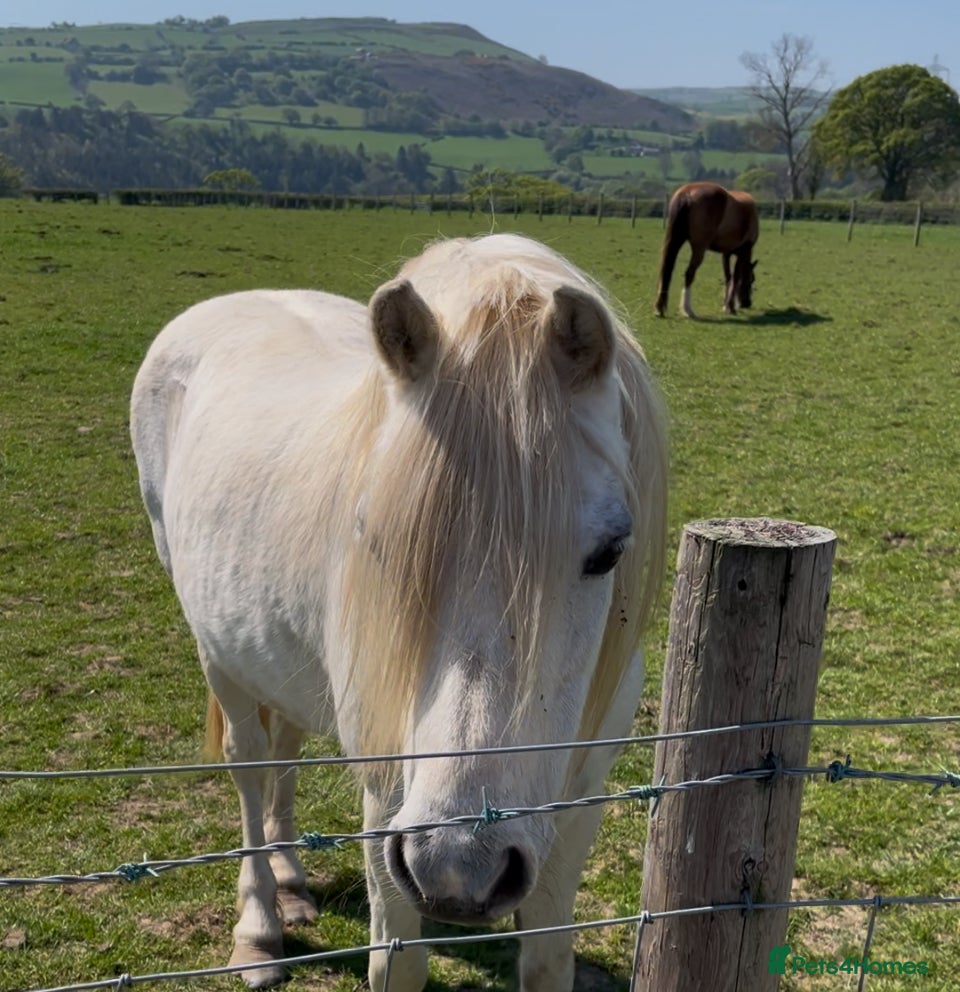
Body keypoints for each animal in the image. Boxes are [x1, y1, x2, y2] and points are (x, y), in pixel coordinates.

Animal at [130, 232, 668, 992]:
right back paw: (260, 928)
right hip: (216, 648)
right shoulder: (387, 805)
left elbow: (547, 960)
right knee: (250, 762)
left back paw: (291, 880)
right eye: (378, 540)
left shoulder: (580, 803)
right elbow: (399, 962)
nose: (460, 867)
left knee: (286, 739)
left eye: (610, 551)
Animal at [654, 181, 758, 318]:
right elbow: (735, 278)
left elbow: (728, 278)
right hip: (699, 249)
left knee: (666, 270)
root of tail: (687, 193)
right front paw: (730, 308)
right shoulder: (743, 252)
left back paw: (659, 309)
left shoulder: (726, 254)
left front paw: (726, 306)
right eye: (751, 279)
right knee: (689, 274)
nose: (747, 303)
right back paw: (687, 310)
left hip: (675, 241)